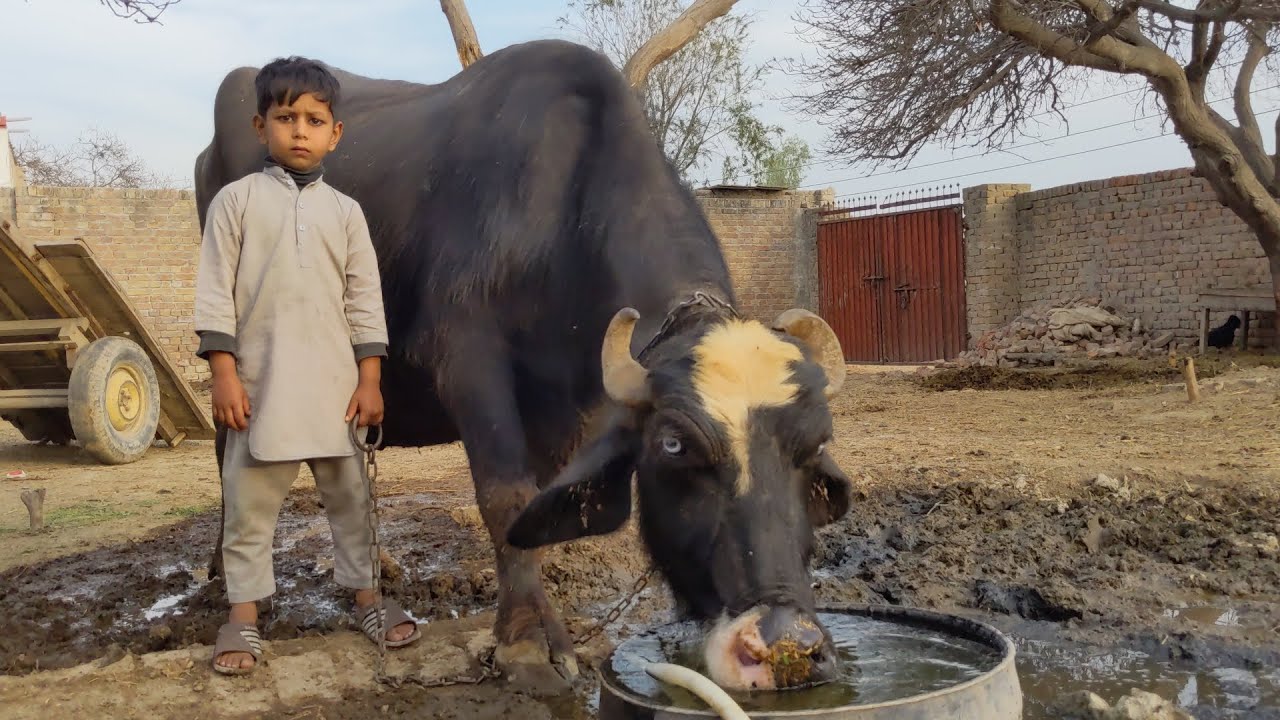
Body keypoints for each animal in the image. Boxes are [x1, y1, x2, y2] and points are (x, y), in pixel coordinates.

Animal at [194, 39, 853, 692]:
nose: (783, 643)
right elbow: (505, 495)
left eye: (816, 443)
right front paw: (527, 639)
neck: (564, 221)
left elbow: (534, 501)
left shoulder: (573, 405)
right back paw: (228, 579)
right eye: (674, 446)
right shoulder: (467, 359)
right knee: (231, 450)